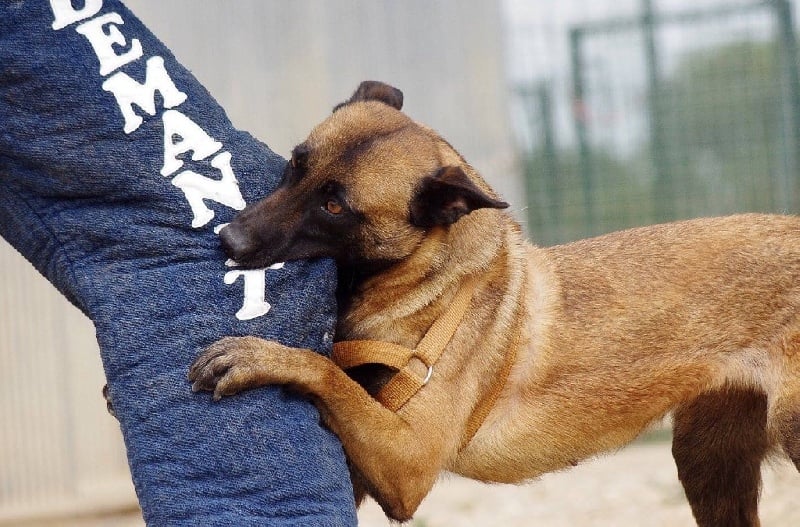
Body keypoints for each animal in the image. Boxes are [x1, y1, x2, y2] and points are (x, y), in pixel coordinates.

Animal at [191, 80, 800, 524]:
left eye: (336, 205)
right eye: (296, 164)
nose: (229, 240)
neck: (426, 285)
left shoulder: (407, 464)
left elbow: (327, 373)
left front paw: (260, 356)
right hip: (707, 464)